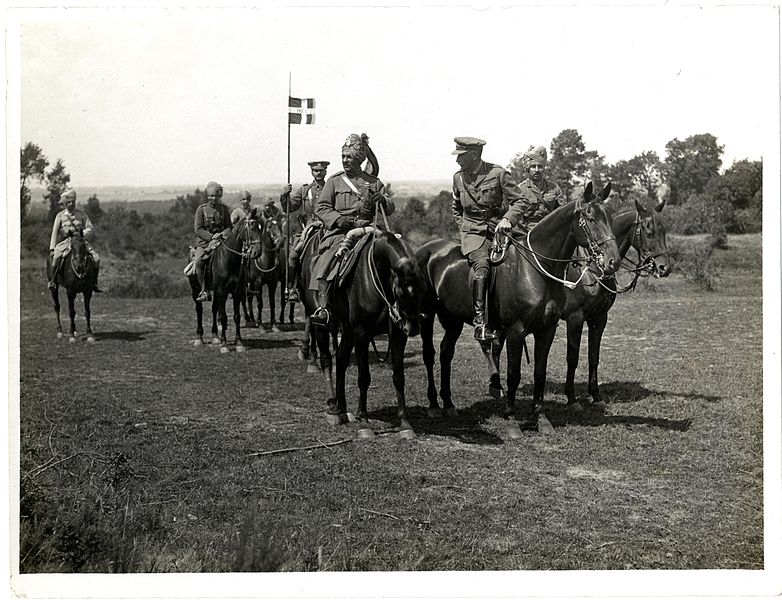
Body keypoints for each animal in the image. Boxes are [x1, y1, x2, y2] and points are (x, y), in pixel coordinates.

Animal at [189, 211, 264, 352]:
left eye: (261, 228)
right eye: (251, 227)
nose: (257, 252)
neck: (229, 259)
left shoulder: (236, 291)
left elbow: (236, 317)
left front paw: (239, 343)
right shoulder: (221, 291)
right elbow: (223, 317)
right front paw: (224, 345)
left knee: (214, 309)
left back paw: (215, 337)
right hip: (196, 289)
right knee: (199, 309)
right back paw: (199, 338)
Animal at [302, 227, 426, 434]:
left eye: (423, 289)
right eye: (400, 289)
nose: (413, 327)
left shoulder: (397, 335)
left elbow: (399, 376)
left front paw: (404, 422)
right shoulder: (362, 333)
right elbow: (364, 377)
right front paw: (364, 421)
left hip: (348, 329)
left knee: (341, 359)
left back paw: (343, 408)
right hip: (321, 325)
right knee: (327, 360)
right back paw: (333, 409)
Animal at [420, 183, 620, 436]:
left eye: (610, 217)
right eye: (591, 218)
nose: (613, 261)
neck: (535, 268)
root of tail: (425, 250)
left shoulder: (548, 330)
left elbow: (540, 372)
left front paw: (541, 418)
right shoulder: (517, 331)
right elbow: (514, 374)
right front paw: (512, 420)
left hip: (453, 320)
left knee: (446, 353)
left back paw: (448, 403)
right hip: (427, 317)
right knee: (429, 354)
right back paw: (434, 405)